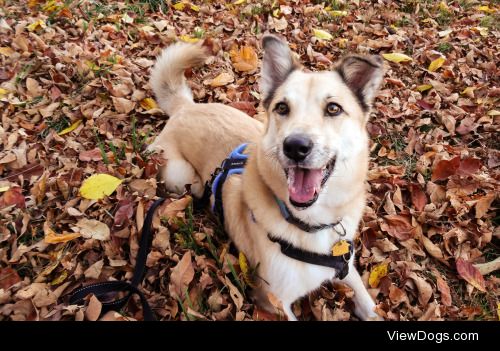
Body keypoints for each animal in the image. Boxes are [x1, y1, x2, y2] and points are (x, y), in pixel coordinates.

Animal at [147, 33, 382, 322]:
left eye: (333, 108)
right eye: (282, 107)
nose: (295, 146)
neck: (309, 224)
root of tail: (185, 108)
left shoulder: (346, 269)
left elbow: (370, 305)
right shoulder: (274, 301)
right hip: (182, 178)